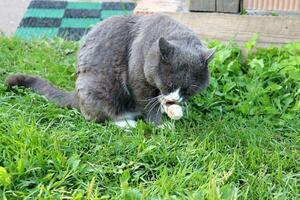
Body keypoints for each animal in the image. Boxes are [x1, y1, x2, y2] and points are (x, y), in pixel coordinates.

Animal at [5, 14, 214, 128]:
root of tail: (76, 94)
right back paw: (127, 124)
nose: (175, 99)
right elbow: (147, 104)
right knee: (97, 117)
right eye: (168, 84)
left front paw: (171, 109)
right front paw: (161, 125)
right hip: (98, 89)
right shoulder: (138, 81)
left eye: (189, 89)